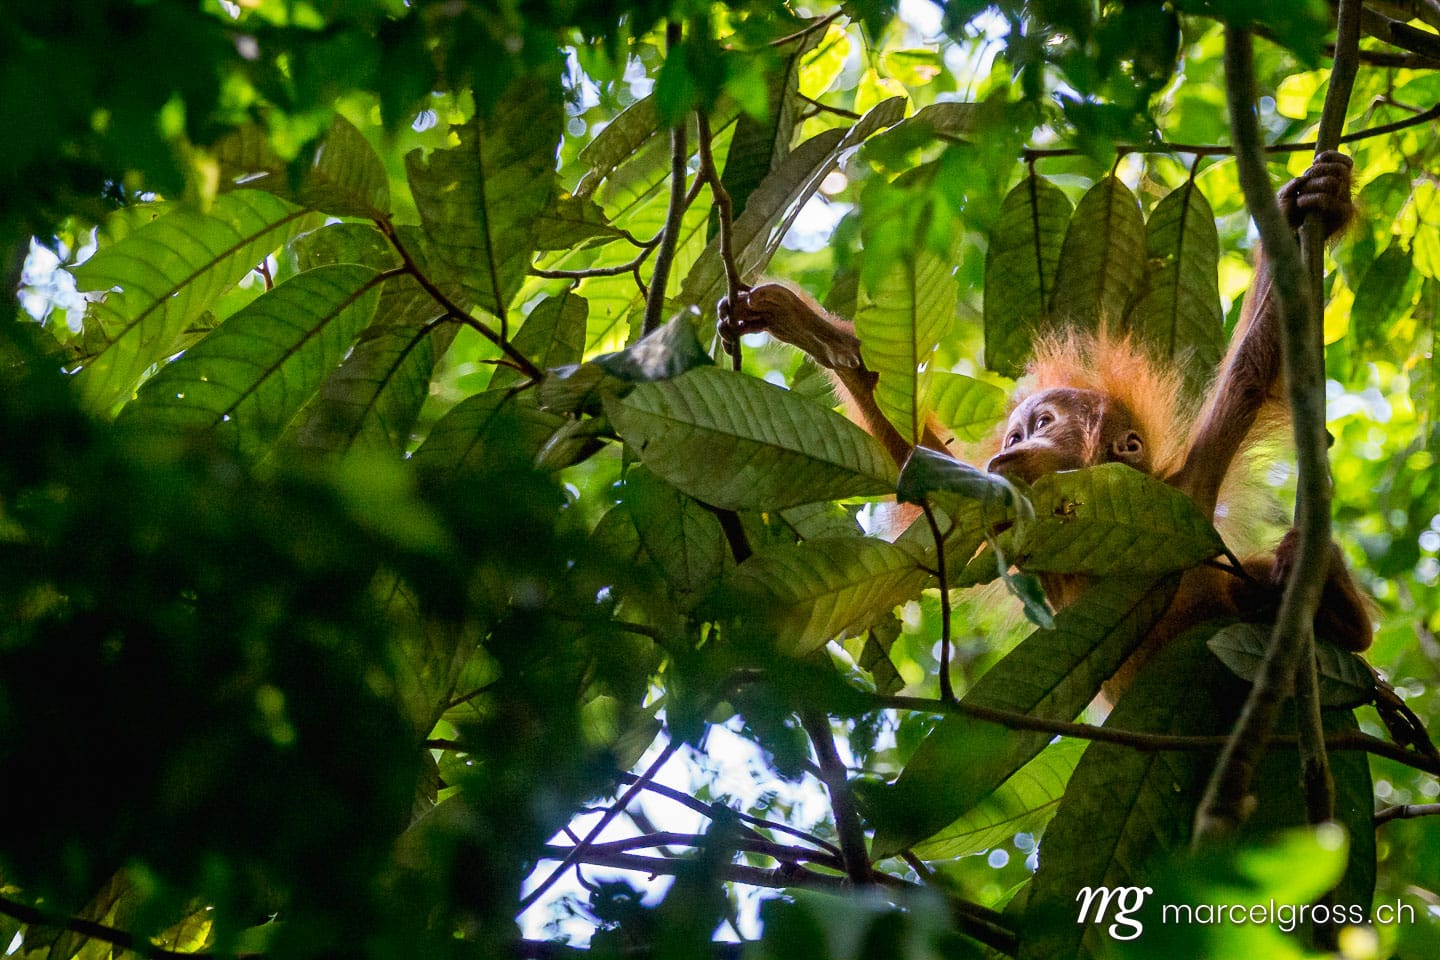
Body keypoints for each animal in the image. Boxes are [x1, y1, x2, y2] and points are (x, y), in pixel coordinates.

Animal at [717, 151, 1372, 686]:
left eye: (1042, 425)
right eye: (1014, 433)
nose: (1008, 450)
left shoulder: (1191, 488)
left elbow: (1253, 375)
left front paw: (1313, 204)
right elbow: (928, 471)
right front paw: (812, 331)